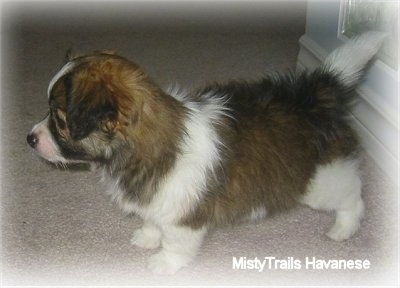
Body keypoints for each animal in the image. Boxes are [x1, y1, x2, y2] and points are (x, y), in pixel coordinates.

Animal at [27, 32, 384, 274]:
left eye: (60, 121)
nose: (30, 138)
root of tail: (314, 95)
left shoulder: (183, 215)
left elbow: (175, 242)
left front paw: (164, 263)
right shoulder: (159, 200)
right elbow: (153, 221)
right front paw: (147, 237)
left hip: (321, 180)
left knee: (352, 194)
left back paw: (344, 228)